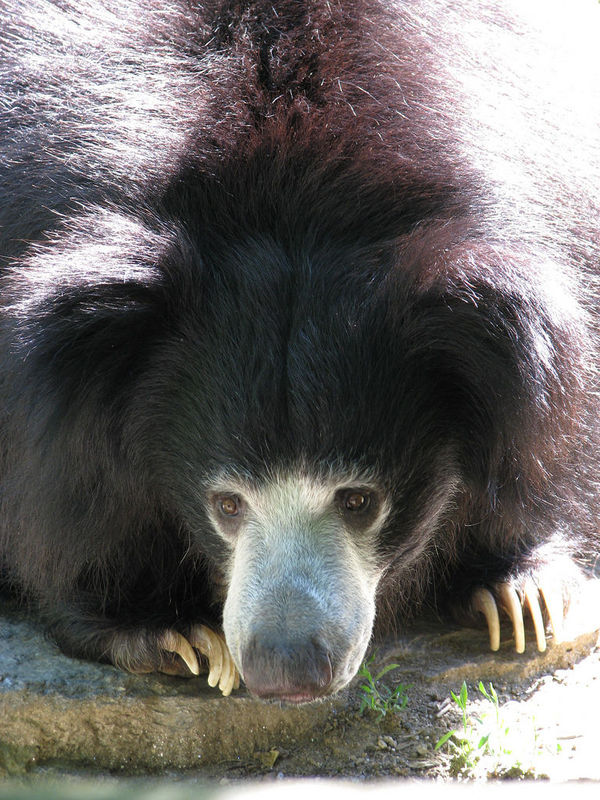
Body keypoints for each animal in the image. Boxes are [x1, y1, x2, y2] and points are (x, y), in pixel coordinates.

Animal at [1, 0, 600, 700]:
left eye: (359, 500)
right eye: (227, 504)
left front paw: (517, 593)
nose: (289, 669)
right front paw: (170, 635)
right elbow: (68, 487)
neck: (291, 191)